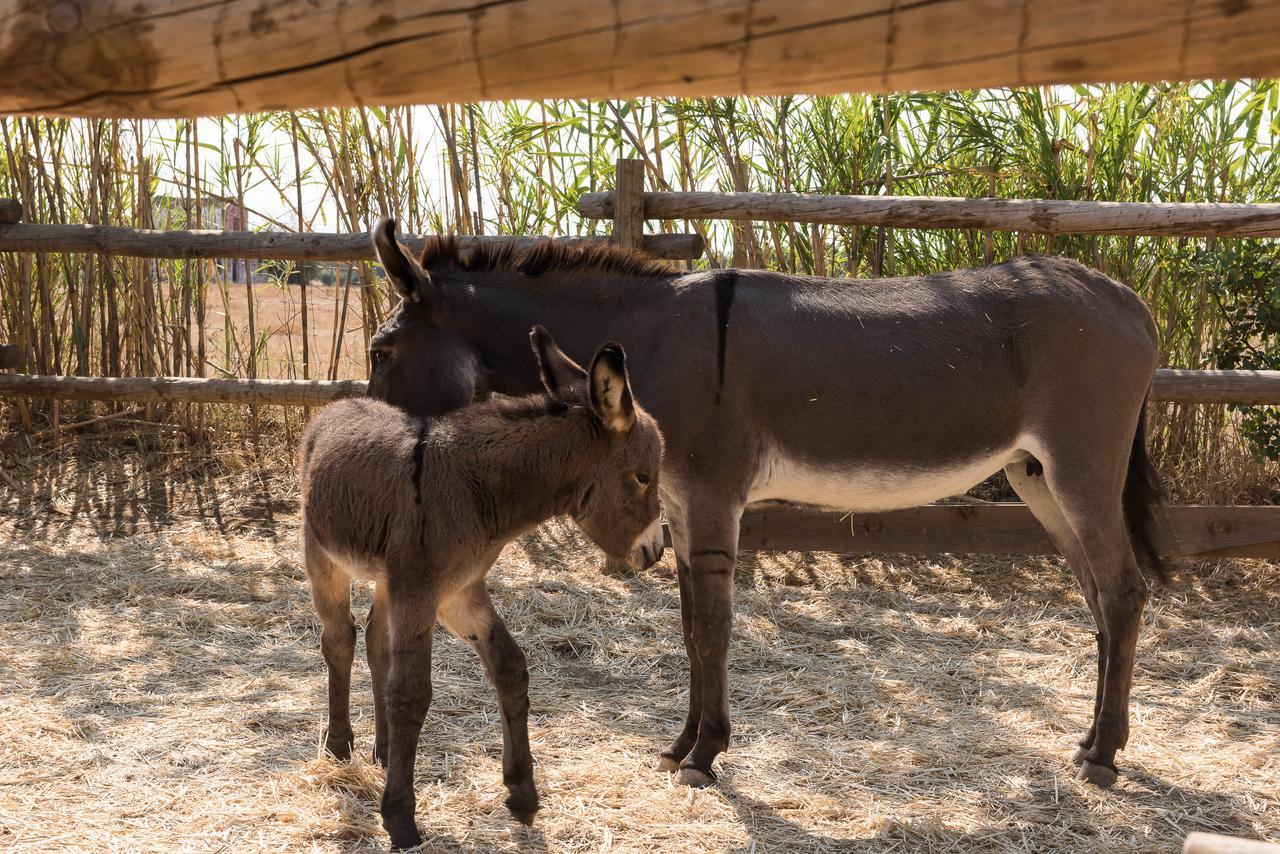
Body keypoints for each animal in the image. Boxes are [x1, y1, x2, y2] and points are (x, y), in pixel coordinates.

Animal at [296, 325, 660, 850]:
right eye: (644, 477)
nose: (657, 551)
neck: (477, 491)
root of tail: (338, 406)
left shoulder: (458, 591)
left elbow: (510, 668)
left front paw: (522, 794)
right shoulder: (421, 591)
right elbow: (411, 693)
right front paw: (400, 818)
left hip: (389, 581)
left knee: (376, 643)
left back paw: (383, 750)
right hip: (323, 557)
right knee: (340, 640)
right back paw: (341, 745)